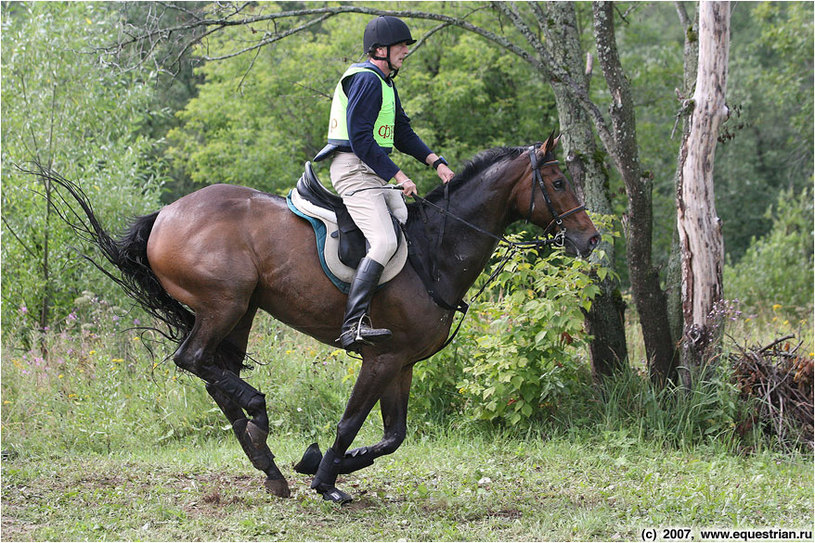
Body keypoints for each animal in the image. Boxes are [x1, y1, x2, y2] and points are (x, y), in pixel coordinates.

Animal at [43, 133, 600, 506]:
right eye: (557, 181)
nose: (591, 240)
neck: (433, 250)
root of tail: (164, 215)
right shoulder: (381, 357)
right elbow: (352, 422)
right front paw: (326, 479)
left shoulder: (402, 363)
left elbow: (393, 436)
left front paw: (318, 464)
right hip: (225, 304)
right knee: (193, 360)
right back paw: (260, 418)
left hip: (241, 313)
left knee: (214, 376)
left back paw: (267, 463)